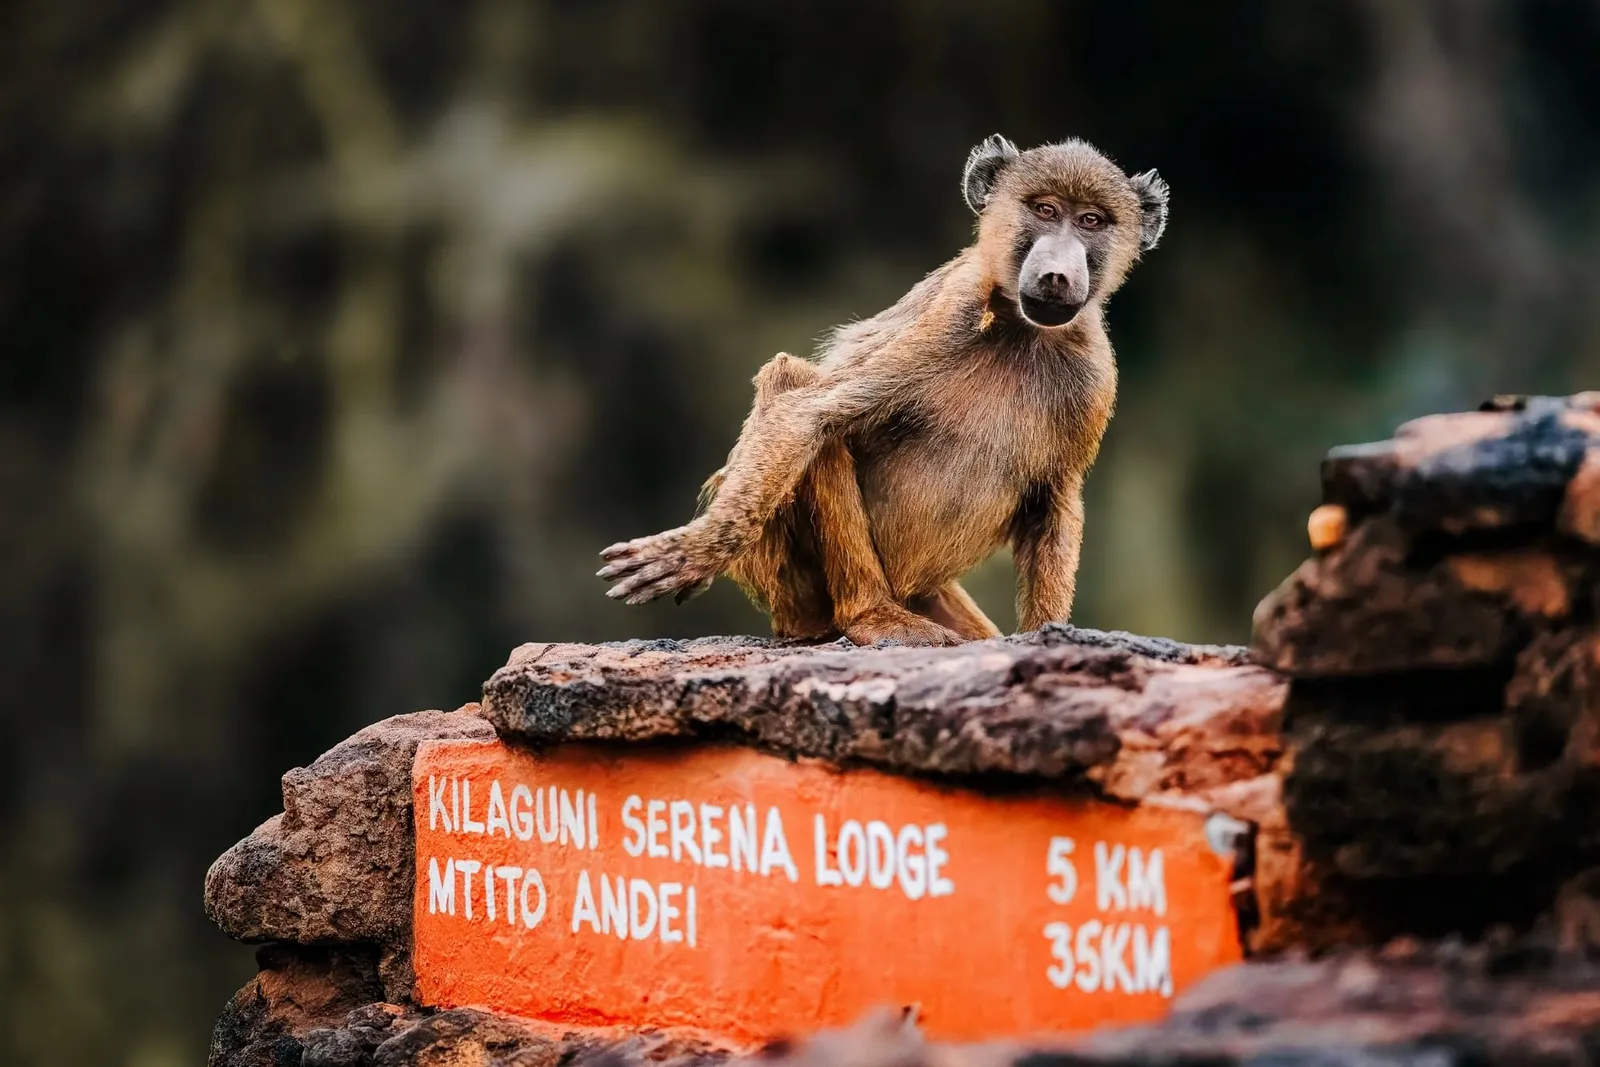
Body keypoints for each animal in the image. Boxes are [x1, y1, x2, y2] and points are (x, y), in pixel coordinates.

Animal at [597, 134, 1169, 647]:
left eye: (1091, 221)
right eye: (1046, 211)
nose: (1056, 275)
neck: (1023, 330)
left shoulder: (1093, 371)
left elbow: (1056, 497)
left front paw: (1049, 636)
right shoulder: (955, 312)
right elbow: (805, 413)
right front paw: (693, 554)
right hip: (790, 576)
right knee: (799, 389)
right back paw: (871, 616)